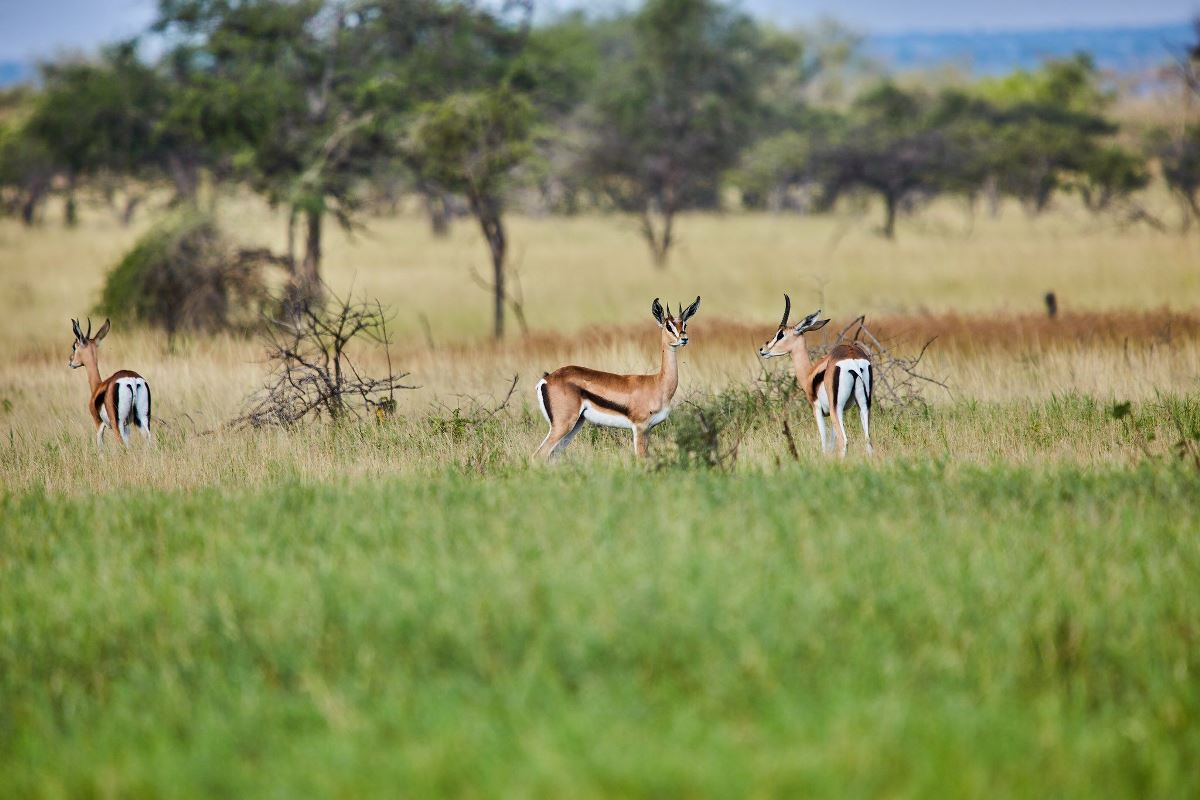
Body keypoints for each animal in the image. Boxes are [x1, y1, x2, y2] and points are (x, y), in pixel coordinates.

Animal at [67, 316, 152, 448]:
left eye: (74, 346)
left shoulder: (99, 424)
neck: (98, 386)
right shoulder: (127, 426)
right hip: (142, 419)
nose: (70, 361)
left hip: (118, 424)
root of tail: (131, 380)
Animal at [537, 298, 700, 462]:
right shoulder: (640, 427)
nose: (684, 339)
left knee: (552, 455)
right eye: (668, 326)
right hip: (563, 425)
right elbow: (641, 458)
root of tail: (548, 378)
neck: (658, 383)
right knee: (539, 455)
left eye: (684, 324)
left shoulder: (648, 429)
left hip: (575, 424)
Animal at [758, 296, 873, 460]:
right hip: (863, 406)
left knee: (844, 441)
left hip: (836, 408)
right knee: (868, 441)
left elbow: (825, 444)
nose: (763, 349)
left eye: (780, 334)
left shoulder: (818, 409)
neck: (809, 373)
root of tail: (852, 359)